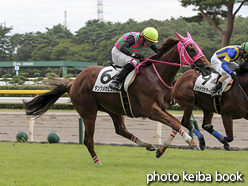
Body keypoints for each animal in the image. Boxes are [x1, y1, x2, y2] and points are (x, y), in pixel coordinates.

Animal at [23, 32, 212, 166]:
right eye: (192, 49)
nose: (208, 68)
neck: (156, 75)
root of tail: (73, 82)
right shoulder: (151, 110)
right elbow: (175, 123)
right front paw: (192, 143)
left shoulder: (162, 108)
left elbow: (176, 123)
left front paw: (161, 150)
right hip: (89, 112)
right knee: (88, 140)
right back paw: (98, 162)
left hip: (114, 108)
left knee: (120, 129)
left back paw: (147, 145)